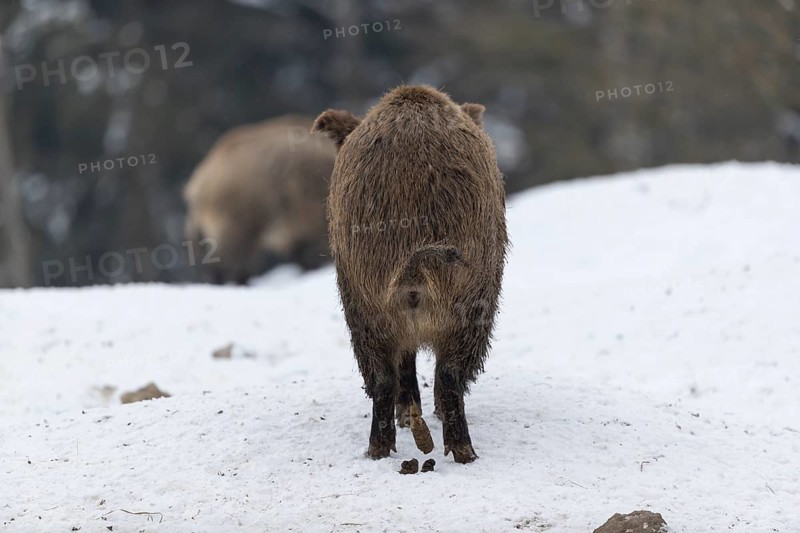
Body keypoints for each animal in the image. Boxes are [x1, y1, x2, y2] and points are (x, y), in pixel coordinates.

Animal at [313, 85, 508, 463]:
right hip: (473, 302)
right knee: (447, 374)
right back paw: (462, 453)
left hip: (363, 308)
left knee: (383, 379)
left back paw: (380, 452)